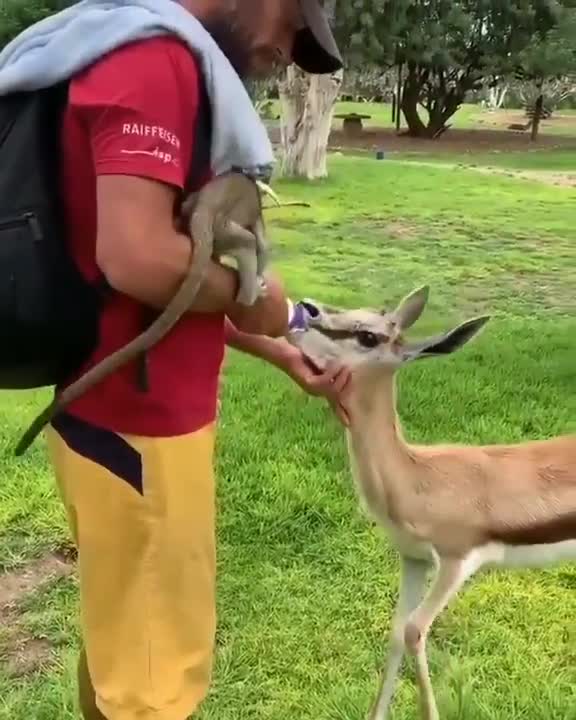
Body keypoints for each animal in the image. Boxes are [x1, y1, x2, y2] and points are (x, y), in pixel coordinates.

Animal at [287, 285, 576, 720]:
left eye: (368, 335)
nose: (307, 308)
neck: (418, 476)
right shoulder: (414, 558)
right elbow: (395, 631)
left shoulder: (456, 561)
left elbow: (414, 631)